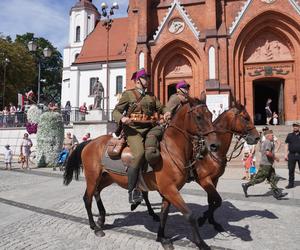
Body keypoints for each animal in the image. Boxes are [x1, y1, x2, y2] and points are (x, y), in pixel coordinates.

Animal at [64, 96, 217, 249]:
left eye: (210, 115)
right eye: (198, 117)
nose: (214, 145)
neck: (171, 150)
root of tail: (90, 142)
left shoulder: (168, 192)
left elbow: (164, 214)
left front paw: (161, 237)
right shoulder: (170, 190)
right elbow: (189, 215)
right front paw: (201, 243)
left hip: (108, 177)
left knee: (97, 192)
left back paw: (101, 218)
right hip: (92, 177)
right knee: (87, 198)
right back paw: (95, 227)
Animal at [196, 101, 258, 232]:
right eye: (246, 118)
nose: (257, 137)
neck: (212, 152)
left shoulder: (214, 180)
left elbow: (212, 202)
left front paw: (212, 221)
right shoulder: (204, 180)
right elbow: (217, 201)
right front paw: (203, 218)